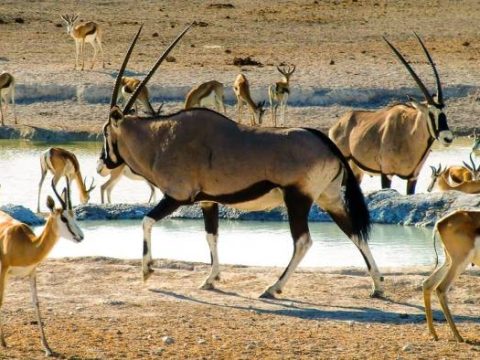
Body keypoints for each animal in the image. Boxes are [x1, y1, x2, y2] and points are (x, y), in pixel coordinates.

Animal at [0, 184, 84, 356]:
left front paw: (47, 347)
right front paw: (3, 342)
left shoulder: (31, 272)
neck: (26, 245)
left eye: (74, 215)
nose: (80, 237)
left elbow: (36, 302)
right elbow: (1, 300)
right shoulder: (3, 269)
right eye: (63, 218)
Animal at [99, 23, 384, 298]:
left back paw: (273, 288)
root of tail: (325, 142)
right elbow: (211, 236)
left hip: (298, 198)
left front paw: (147, 271)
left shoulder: (177, 196)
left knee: (303, 241)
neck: (160, 138)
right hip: (329, 198)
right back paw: (377, 286)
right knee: (354, 232)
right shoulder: (208, 201)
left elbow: (146, 221)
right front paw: (211, 279)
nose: (103, 163)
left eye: (105, 132)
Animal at [330, 33, 454, 195]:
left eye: (443, 112)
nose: (448, 138)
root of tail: (338, 124)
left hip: (357, 170)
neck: (409, 133)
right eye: (430, 113)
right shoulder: (386, 173)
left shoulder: (413, 177)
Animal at [424, 211, 480, 344]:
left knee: (428, 284)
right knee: (440, 288)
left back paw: (434, 334)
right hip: (460, 261)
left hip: (449, 261)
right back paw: (459, 337)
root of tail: (440, 223)